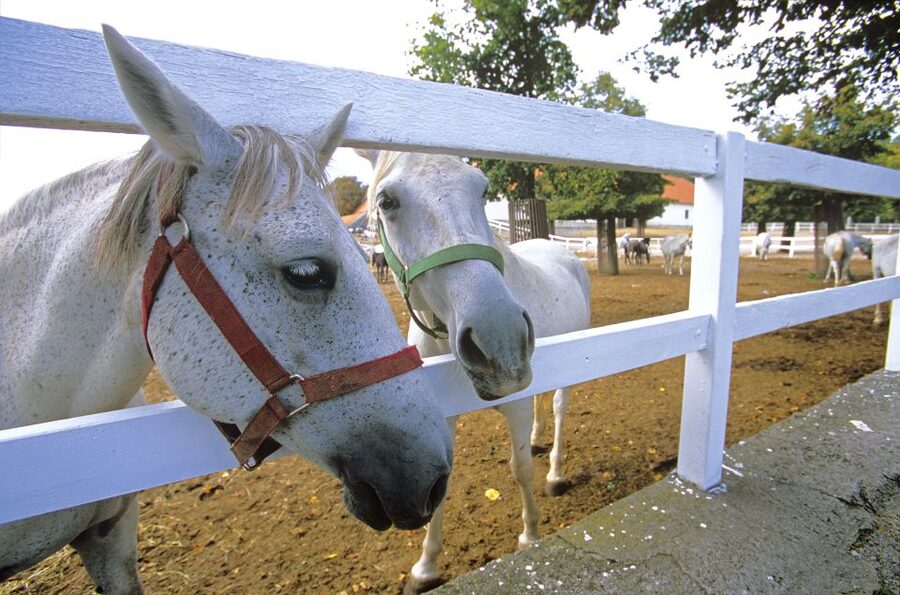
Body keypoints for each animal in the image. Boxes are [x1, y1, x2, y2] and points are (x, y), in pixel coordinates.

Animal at [357, 150, 591, 594]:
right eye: (386, 202)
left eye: (482, 190)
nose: (499, 338)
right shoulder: (445, 416)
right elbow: (440, 486)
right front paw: (425, 567)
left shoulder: (515, 404)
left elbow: (520, 470)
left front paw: (529, 535)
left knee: (558, 410)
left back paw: (555, 473)